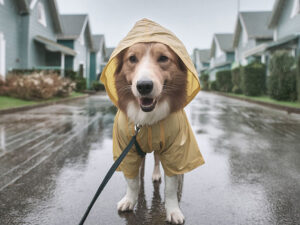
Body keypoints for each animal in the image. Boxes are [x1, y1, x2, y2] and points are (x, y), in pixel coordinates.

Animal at [115, 41, 188, 223]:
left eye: (163, 58)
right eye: (132, 58)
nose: (144, 86)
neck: (146, 120)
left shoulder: (173, 150)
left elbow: (170, 188)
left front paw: (173, 211)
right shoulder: (127, 150)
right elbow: (132, 182)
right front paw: (129, 200)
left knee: (157, 161)